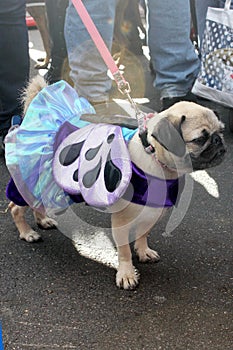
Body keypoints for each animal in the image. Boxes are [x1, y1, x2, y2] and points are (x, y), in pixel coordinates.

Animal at [6, 79, 226, 290]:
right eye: (199, 139)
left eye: (221, 131)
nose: (219, 141)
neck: (153, 156)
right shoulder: (121, 221)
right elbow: (124, 251)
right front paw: (127, 274)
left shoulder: (152, 213)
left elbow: (143, 235)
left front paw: (143, 251)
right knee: (15, 207)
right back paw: (27, 233)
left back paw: (43, 220)